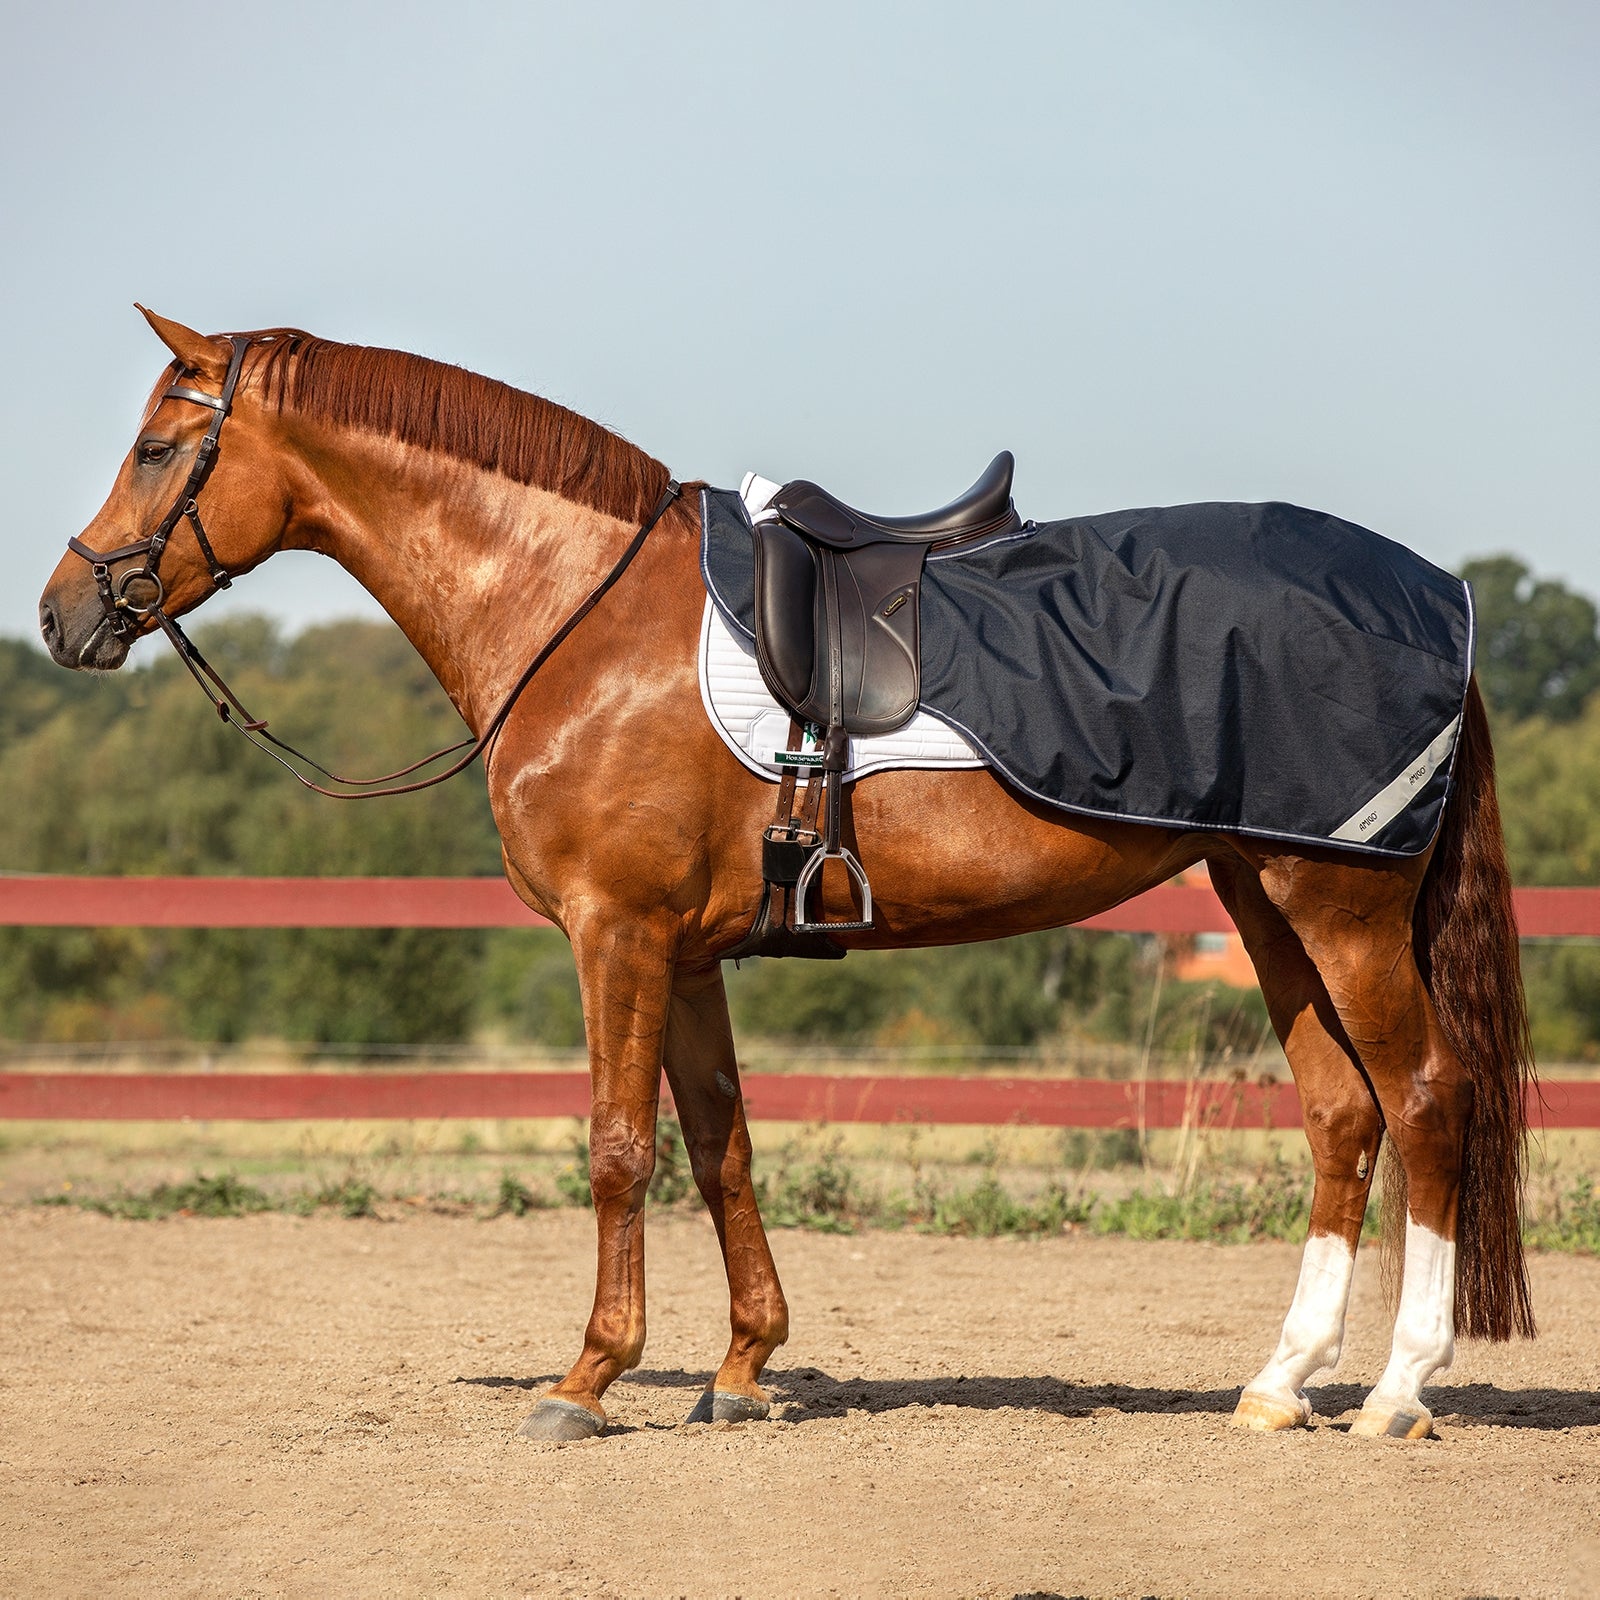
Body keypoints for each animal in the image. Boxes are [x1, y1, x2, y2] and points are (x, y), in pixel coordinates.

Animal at [38, 308, 1534, 1445]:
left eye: (159, 446)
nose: (63, 612)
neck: (580, 611)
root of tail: (1434, 596)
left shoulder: (617, 935)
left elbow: (620, 1149)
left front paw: (587, 1379)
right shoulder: (689, 951)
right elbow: (722, 1147)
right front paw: (745, 1366)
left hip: (1339, 908)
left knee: (1424, 1097)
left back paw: (1396, 1390)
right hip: (1265, 901)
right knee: (1341, 1115)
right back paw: (1279, 1384)